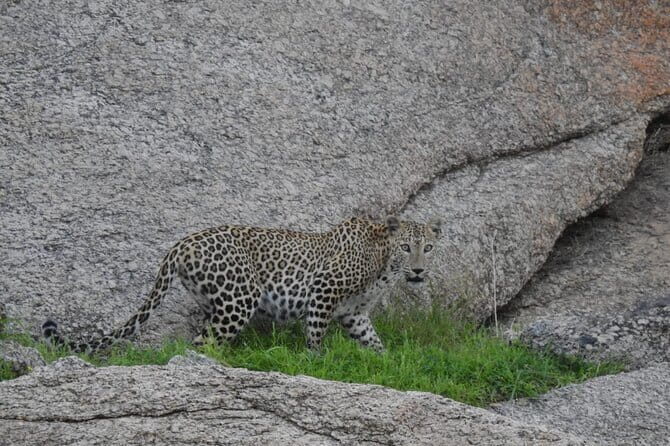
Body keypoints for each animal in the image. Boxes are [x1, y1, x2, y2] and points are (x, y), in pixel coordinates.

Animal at [42, 215, 441, 354]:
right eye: (406, 247)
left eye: (428, 248)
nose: (419, 271)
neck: (384, 266)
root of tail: (180, 244)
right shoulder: (323, 291)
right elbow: (315, 335)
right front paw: (315, 361)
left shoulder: (354, 314)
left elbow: (373, 341)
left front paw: (388, 362)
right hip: (241, 297)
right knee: (203, 344)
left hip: (216, 301)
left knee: (204, 338)